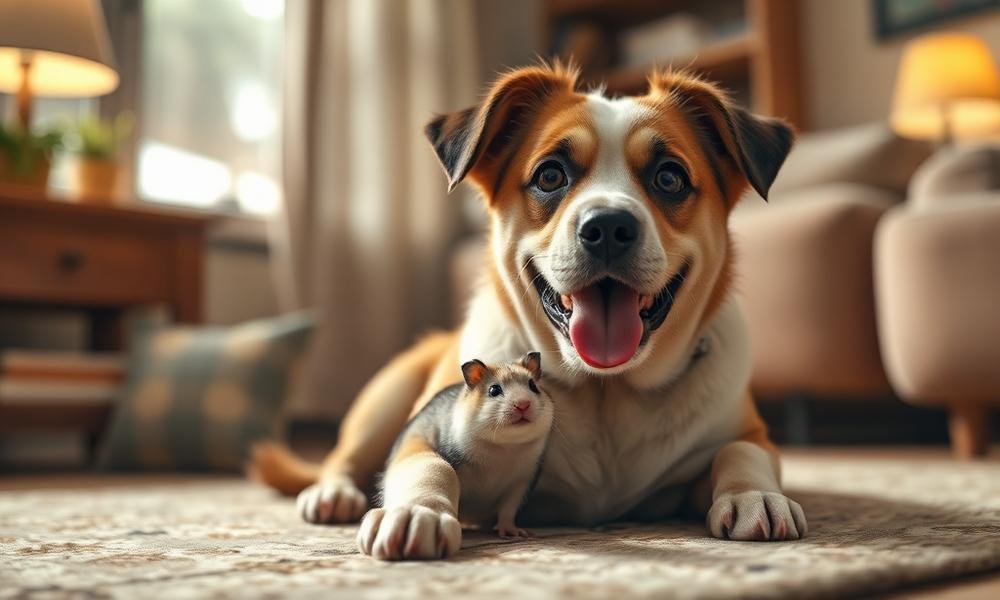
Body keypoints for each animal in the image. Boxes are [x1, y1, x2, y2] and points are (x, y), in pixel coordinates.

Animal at [380, 352, 554, 537]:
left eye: (533, 385)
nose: (523, 404)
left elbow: (507, 511)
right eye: (494, 390)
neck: (504, 446)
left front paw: (512, 531)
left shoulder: (520, 484)